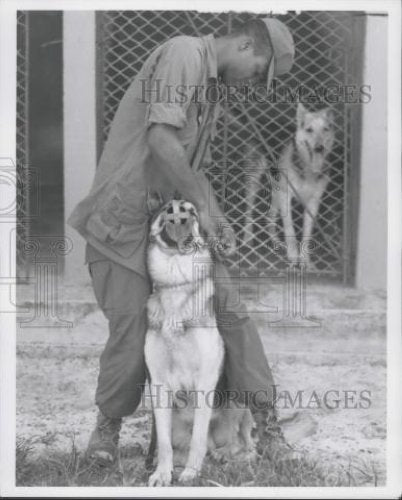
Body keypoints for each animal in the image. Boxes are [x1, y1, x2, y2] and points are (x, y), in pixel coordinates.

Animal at [144, 198, 254, 484]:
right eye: (167, 211)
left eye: (190, 211)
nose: (180, 221)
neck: (177, 284)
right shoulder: (158, 384)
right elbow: (164, 443)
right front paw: (162, 473)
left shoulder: (205, 379)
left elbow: (198, 437)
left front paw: (192, 473)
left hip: (239, 398)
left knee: (245, 445)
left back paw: (225, 456)